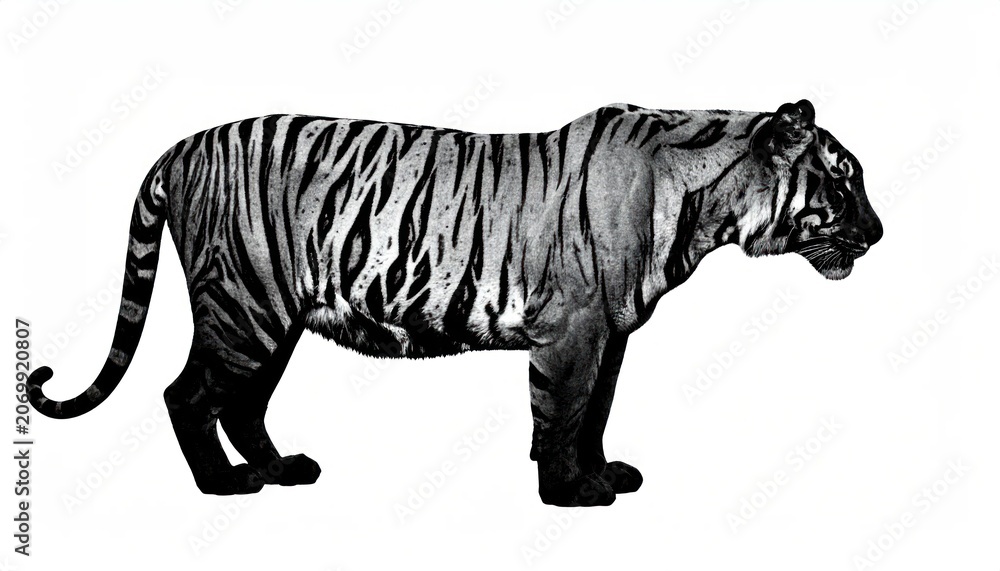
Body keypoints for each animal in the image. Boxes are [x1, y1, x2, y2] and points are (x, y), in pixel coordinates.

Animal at [27, 99, 882, 506]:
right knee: (186, 394)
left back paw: (280, 469)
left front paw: (602, 472)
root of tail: (179, 145)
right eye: (843, 182)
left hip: (274, 318)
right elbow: (564, 410)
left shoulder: (611, 332)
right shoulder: (574, 328)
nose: (879, 231)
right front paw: (570, 491)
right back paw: (224, 484)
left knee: (238, 403)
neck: (708, 210)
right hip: (243, 305)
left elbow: (596, 410)